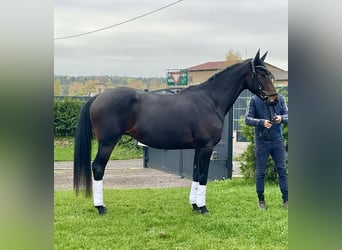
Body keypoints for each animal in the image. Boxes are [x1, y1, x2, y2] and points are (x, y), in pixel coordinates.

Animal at [73, 49, 276, 215]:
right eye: (262, 73)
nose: (274, 99)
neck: (210, 100)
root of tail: (98, 97)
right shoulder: (206, 147)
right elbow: (203, 176)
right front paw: (203, 208)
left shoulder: (198, 148)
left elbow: (195, 174)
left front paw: (195, 206)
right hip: (107, 142)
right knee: (98, 168)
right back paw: (101, 207)